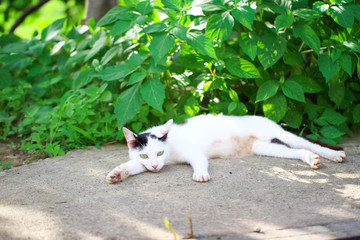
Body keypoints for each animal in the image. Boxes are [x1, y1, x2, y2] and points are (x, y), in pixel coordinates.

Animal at [107, 113, 346, 183]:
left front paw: (201, 174)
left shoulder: (194, 153)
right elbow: (132, 165)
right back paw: (310, 159)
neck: (170, 154)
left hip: (280, 134)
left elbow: (200, 162)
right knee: (297, 151)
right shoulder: (143, 163)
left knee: (308, 143)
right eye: (145, 155)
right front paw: (117, 173)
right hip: (264, 147)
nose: (156, 166)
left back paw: (333, 155)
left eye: (159, 152)